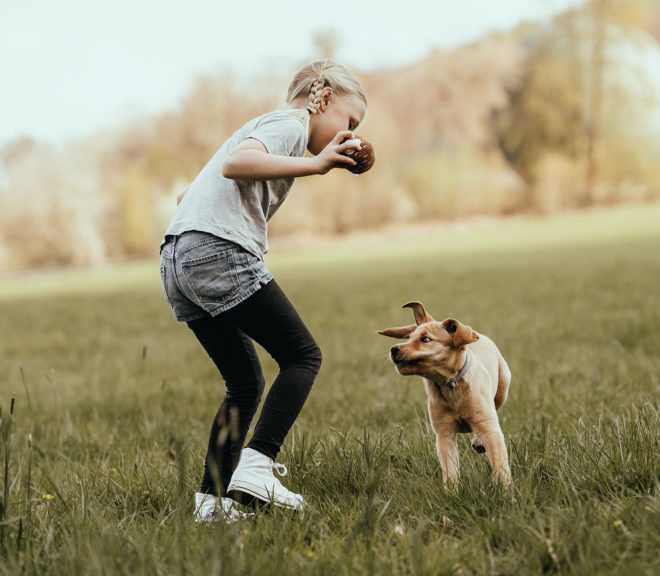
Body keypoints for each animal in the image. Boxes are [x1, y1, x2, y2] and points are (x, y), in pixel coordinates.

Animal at [378, 302, 512, 486]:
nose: (394, 349)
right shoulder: (444, 434)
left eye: (426, 339)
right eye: (408, 338)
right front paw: (452, 490)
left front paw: (505, 489)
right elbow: (450, 469)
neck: (449, 384)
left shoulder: (489, 427)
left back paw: (478, 441)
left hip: (503, 385)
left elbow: (500, 463)